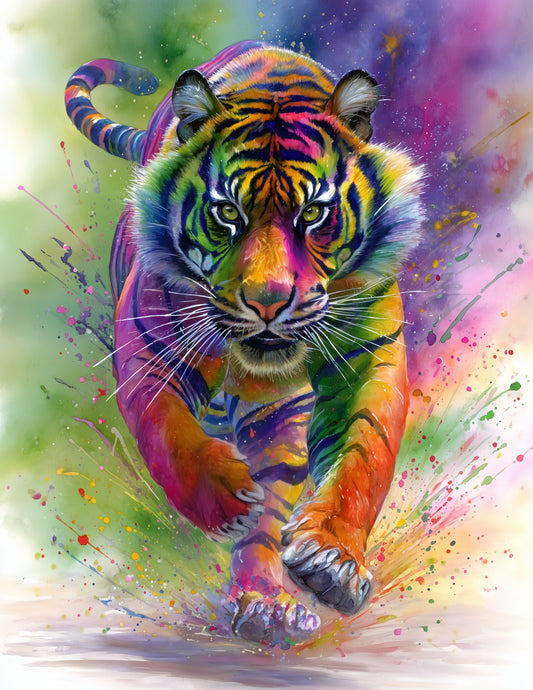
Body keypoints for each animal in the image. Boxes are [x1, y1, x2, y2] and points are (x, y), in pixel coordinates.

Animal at [65, 40, 424, 645]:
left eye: (314, 213)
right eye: (226, 213)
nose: (268, 301)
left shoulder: (366, 359)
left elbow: (365, 457)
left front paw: (332, 562)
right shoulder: (150, 350)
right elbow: (166, 431)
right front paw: (223, 499)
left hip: (279, 423)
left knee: (269, 512)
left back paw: (266, 607)